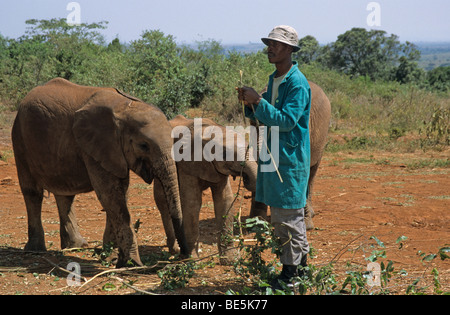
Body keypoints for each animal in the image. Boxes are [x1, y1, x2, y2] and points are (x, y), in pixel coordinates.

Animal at [11, 78, 188, 268]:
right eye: (144, 145)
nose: (181, 254)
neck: (126, 106)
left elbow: (120, 193)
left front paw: (112, 258)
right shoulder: (95, 146)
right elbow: (109, 194)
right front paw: (132, 263)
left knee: (65, 195)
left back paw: (76, 246)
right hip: (19, 140)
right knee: (32, 193)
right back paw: (35, 251)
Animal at [153, 116, 256, 264]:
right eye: (225, 154)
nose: (245, 177)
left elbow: (225, 200)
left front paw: (230, 260)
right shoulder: (186, 164)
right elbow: (192, 202)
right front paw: (192, 261)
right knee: (162, 201)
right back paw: (175, 251)